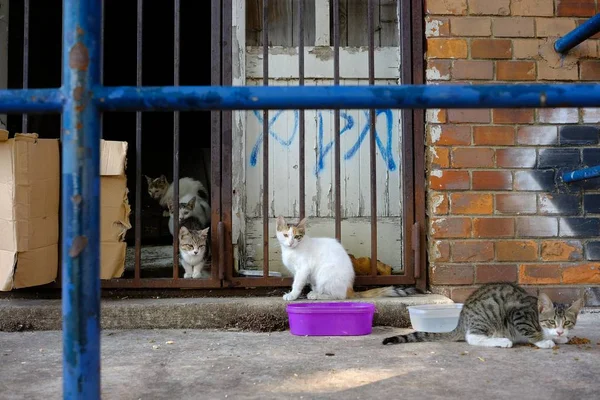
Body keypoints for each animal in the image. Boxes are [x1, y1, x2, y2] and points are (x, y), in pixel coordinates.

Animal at [276, 217, 420, 302]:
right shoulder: (300, 272)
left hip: (325, 273)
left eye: (297, 237)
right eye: (285, 235)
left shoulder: (303, 269)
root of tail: (350, 289)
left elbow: (297, 283)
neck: (291, 250)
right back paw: (316, 292)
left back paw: (317, 295)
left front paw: (292, 295)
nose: (290, 242)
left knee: (339, 296)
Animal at [382, 282, 584, 350]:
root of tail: (462, 320)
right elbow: (531, 332)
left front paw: (561, 338)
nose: (559, 331)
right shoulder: (519, 315)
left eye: (567, 323)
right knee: (472, 337)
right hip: (487, 316)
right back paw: (502, 341)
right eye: (551, 321)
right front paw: (543, 341)